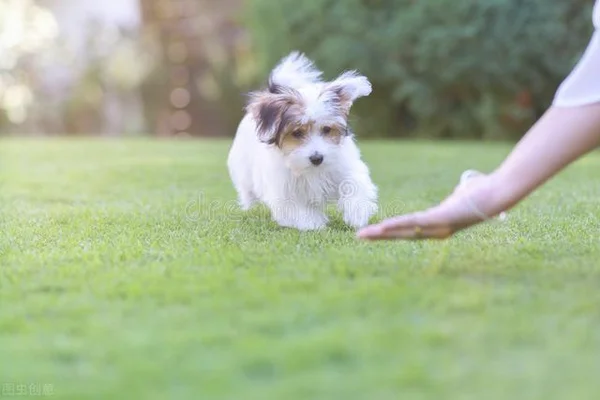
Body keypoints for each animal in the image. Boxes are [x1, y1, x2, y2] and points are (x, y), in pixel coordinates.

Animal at [227, 50, 378, 231]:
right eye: (297, 132)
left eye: (326, 129)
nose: (317, 158)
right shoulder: (285, 189)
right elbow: (298, 208)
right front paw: (313, 223)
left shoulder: (345, 167)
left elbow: (353, 184)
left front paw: (357, 214)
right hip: (244, 170)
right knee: (247, 190)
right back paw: (249, 206)